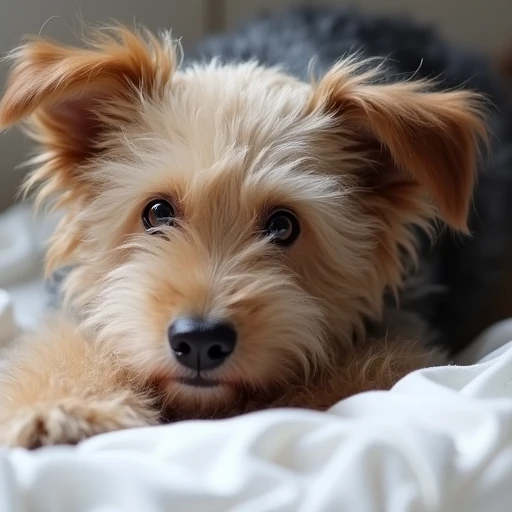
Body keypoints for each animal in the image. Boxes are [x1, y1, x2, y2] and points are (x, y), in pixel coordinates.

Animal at [0, 16, 492, 446]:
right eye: (157, 212)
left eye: (283, 225)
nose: (200, 341)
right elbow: (65, 345)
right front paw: (63, 409)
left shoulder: (402, 339)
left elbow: (355, 376)